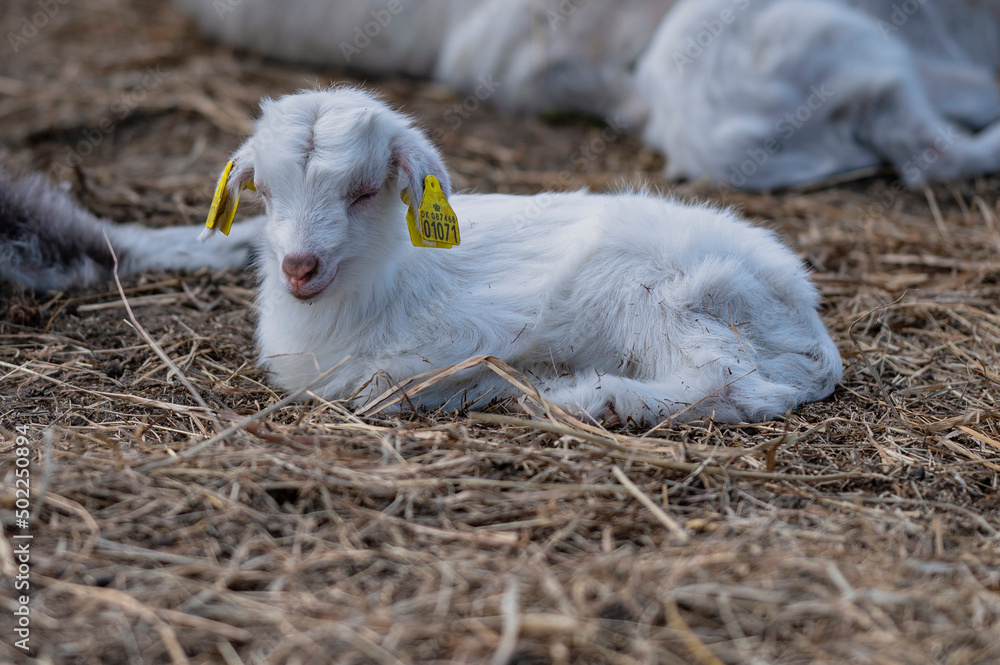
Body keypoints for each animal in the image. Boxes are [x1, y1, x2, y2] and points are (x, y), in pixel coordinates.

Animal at [204, 87, 842, 425]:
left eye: (362, 192)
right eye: (266, 191)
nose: (298, 267)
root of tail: (813, 333)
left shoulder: (466, 335)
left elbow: (385, 384)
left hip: (663, 294)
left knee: (731, 381)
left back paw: (592, 395)